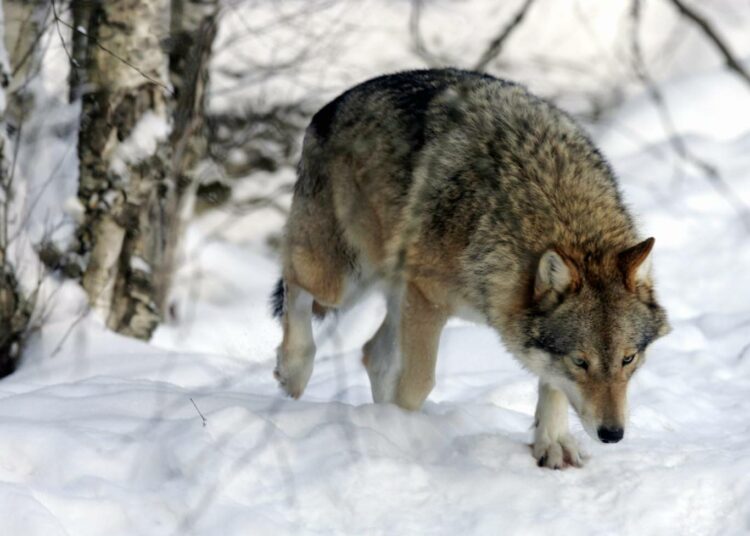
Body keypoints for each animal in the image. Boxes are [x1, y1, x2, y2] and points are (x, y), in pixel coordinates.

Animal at [274, 69, 672, 466]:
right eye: (580, 361)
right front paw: (405, 435)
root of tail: (330, 106)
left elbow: (551, 385)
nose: (613, 434)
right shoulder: (426, 299)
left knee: (373, 354)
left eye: (628, 359)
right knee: (296, 286)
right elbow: (417, 383)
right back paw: (295, 371)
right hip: (342, 280)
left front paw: (552, 443)